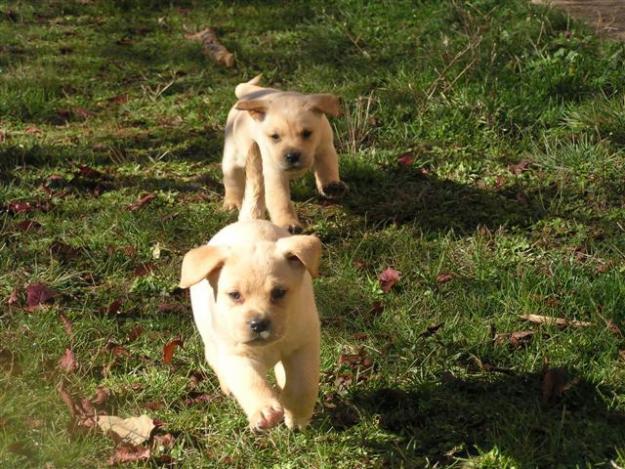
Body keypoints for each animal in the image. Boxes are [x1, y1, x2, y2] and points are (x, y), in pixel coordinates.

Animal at [178, 219, 320, 428]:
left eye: (279, 292)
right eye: (234, 295)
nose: (258, 324)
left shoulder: (303, 346)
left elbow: (302, 386)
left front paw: (296, 416)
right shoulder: (236, 356)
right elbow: (250, 381)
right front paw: (266, 411)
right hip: (211, 341)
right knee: (214, 360)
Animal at [221, 74, 348, 233]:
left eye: (307, 133)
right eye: (275, 136)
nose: (292, 156)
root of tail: (251, 93)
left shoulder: (325, 148)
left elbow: (327, 169)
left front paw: (332, 186)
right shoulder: (274, 173)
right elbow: (281, 202)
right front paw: (288, 223)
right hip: (232, 156)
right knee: (232, 180)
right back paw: (232, 202)